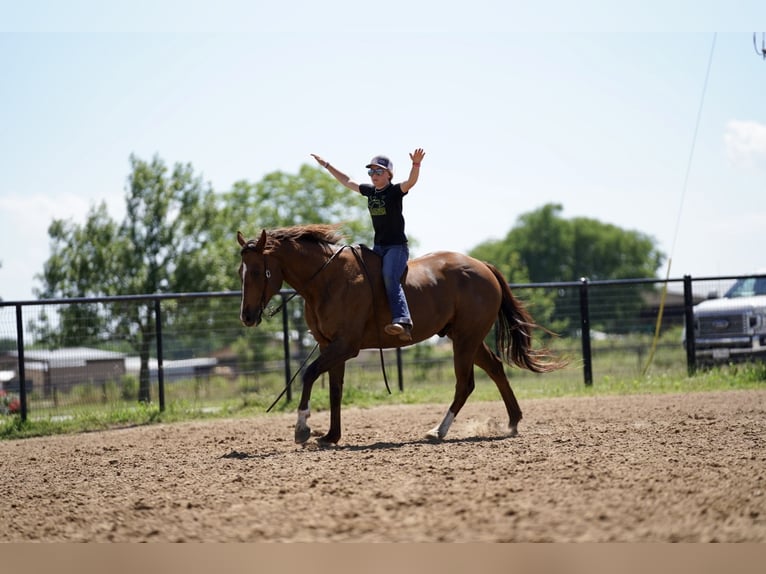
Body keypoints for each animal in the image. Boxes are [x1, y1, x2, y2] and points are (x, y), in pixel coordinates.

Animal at [238, 224, 564, 446]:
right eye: (241, 272)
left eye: (256, 272)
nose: (247, 316)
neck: (328, 280)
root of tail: (482, 266)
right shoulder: (331, 346)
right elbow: (334, 390)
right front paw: (331, 436)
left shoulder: (345, 346)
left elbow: (308, 374)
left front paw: (302, 429)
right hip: (468, 338)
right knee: (495, 368)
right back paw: (512, 422)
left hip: (466, 339)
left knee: (465, 384)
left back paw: (438, 430)